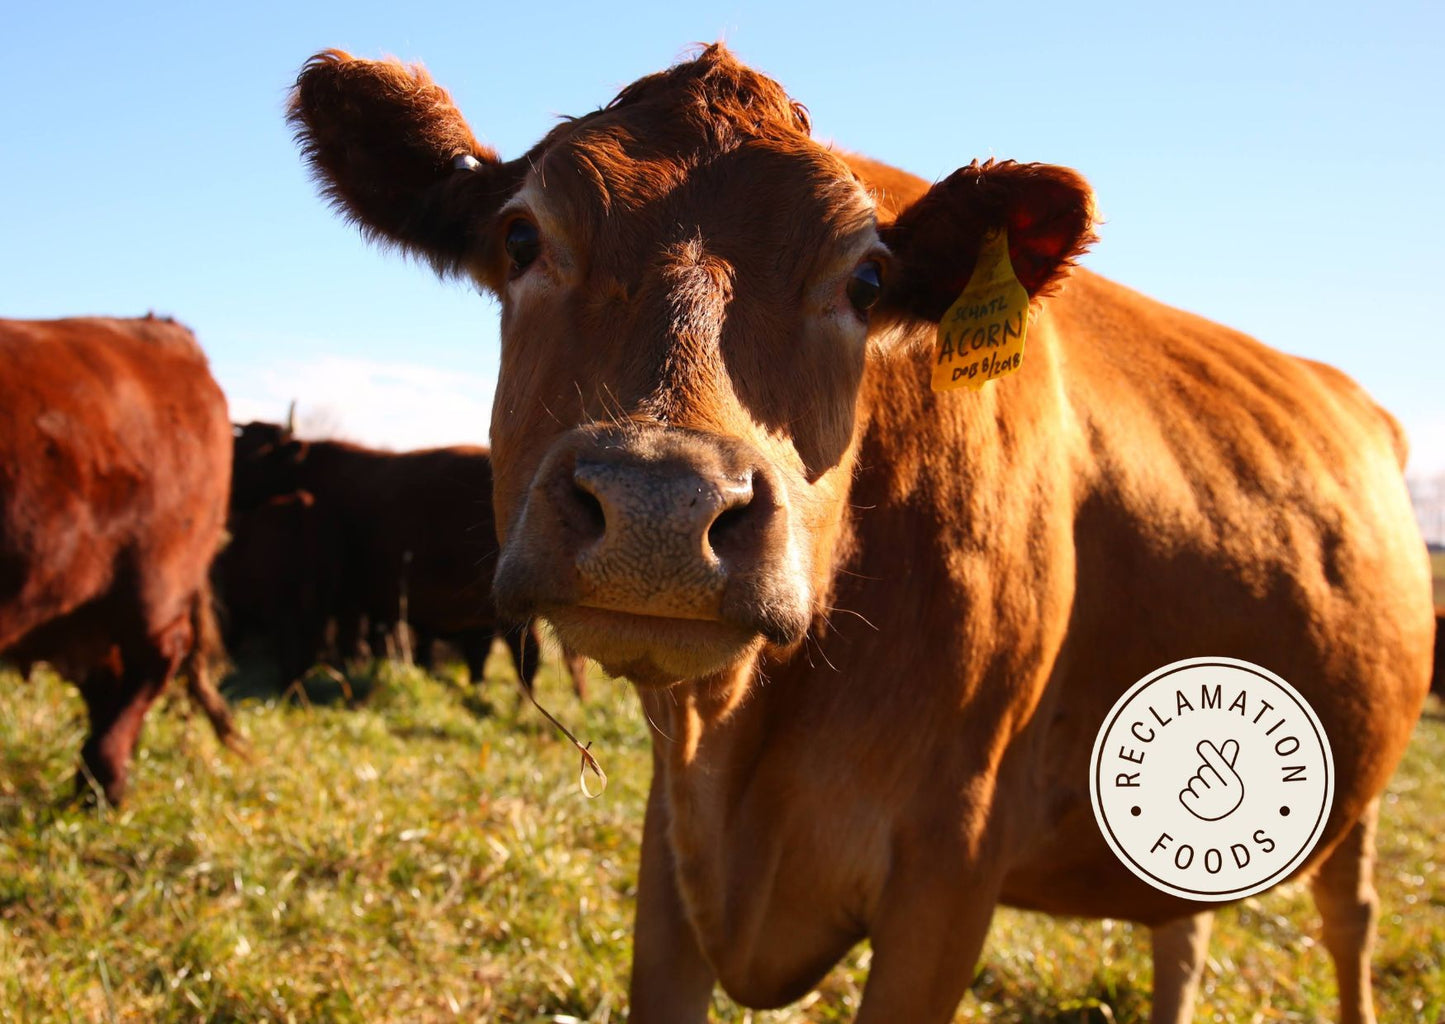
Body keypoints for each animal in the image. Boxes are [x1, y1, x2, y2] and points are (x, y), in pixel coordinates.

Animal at [289, 46, 1434, 1023]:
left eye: (867, 281)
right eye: (521, 240)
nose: (660, 506)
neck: (748, 745)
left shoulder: (952, 860)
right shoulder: (671, 846)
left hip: (1357, 788)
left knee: (1348, 918)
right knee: (1180, 930)